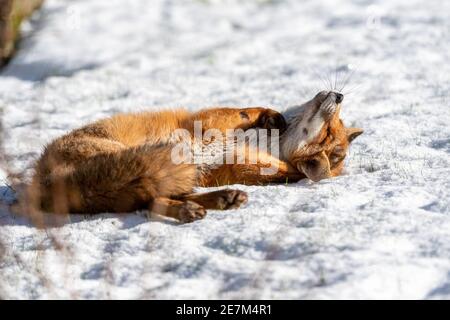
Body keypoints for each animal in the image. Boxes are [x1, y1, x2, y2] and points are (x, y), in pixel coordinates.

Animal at [23, 90, 362, 222]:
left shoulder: (228, 164)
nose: (339, 95)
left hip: (172, 171)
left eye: (327, 134)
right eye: (333, 127)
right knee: (150, 199)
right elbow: (242, 110)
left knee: (151, 200)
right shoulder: (207, 121)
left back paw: (213, 202)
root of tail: (45, 180)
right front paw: (269, 115)